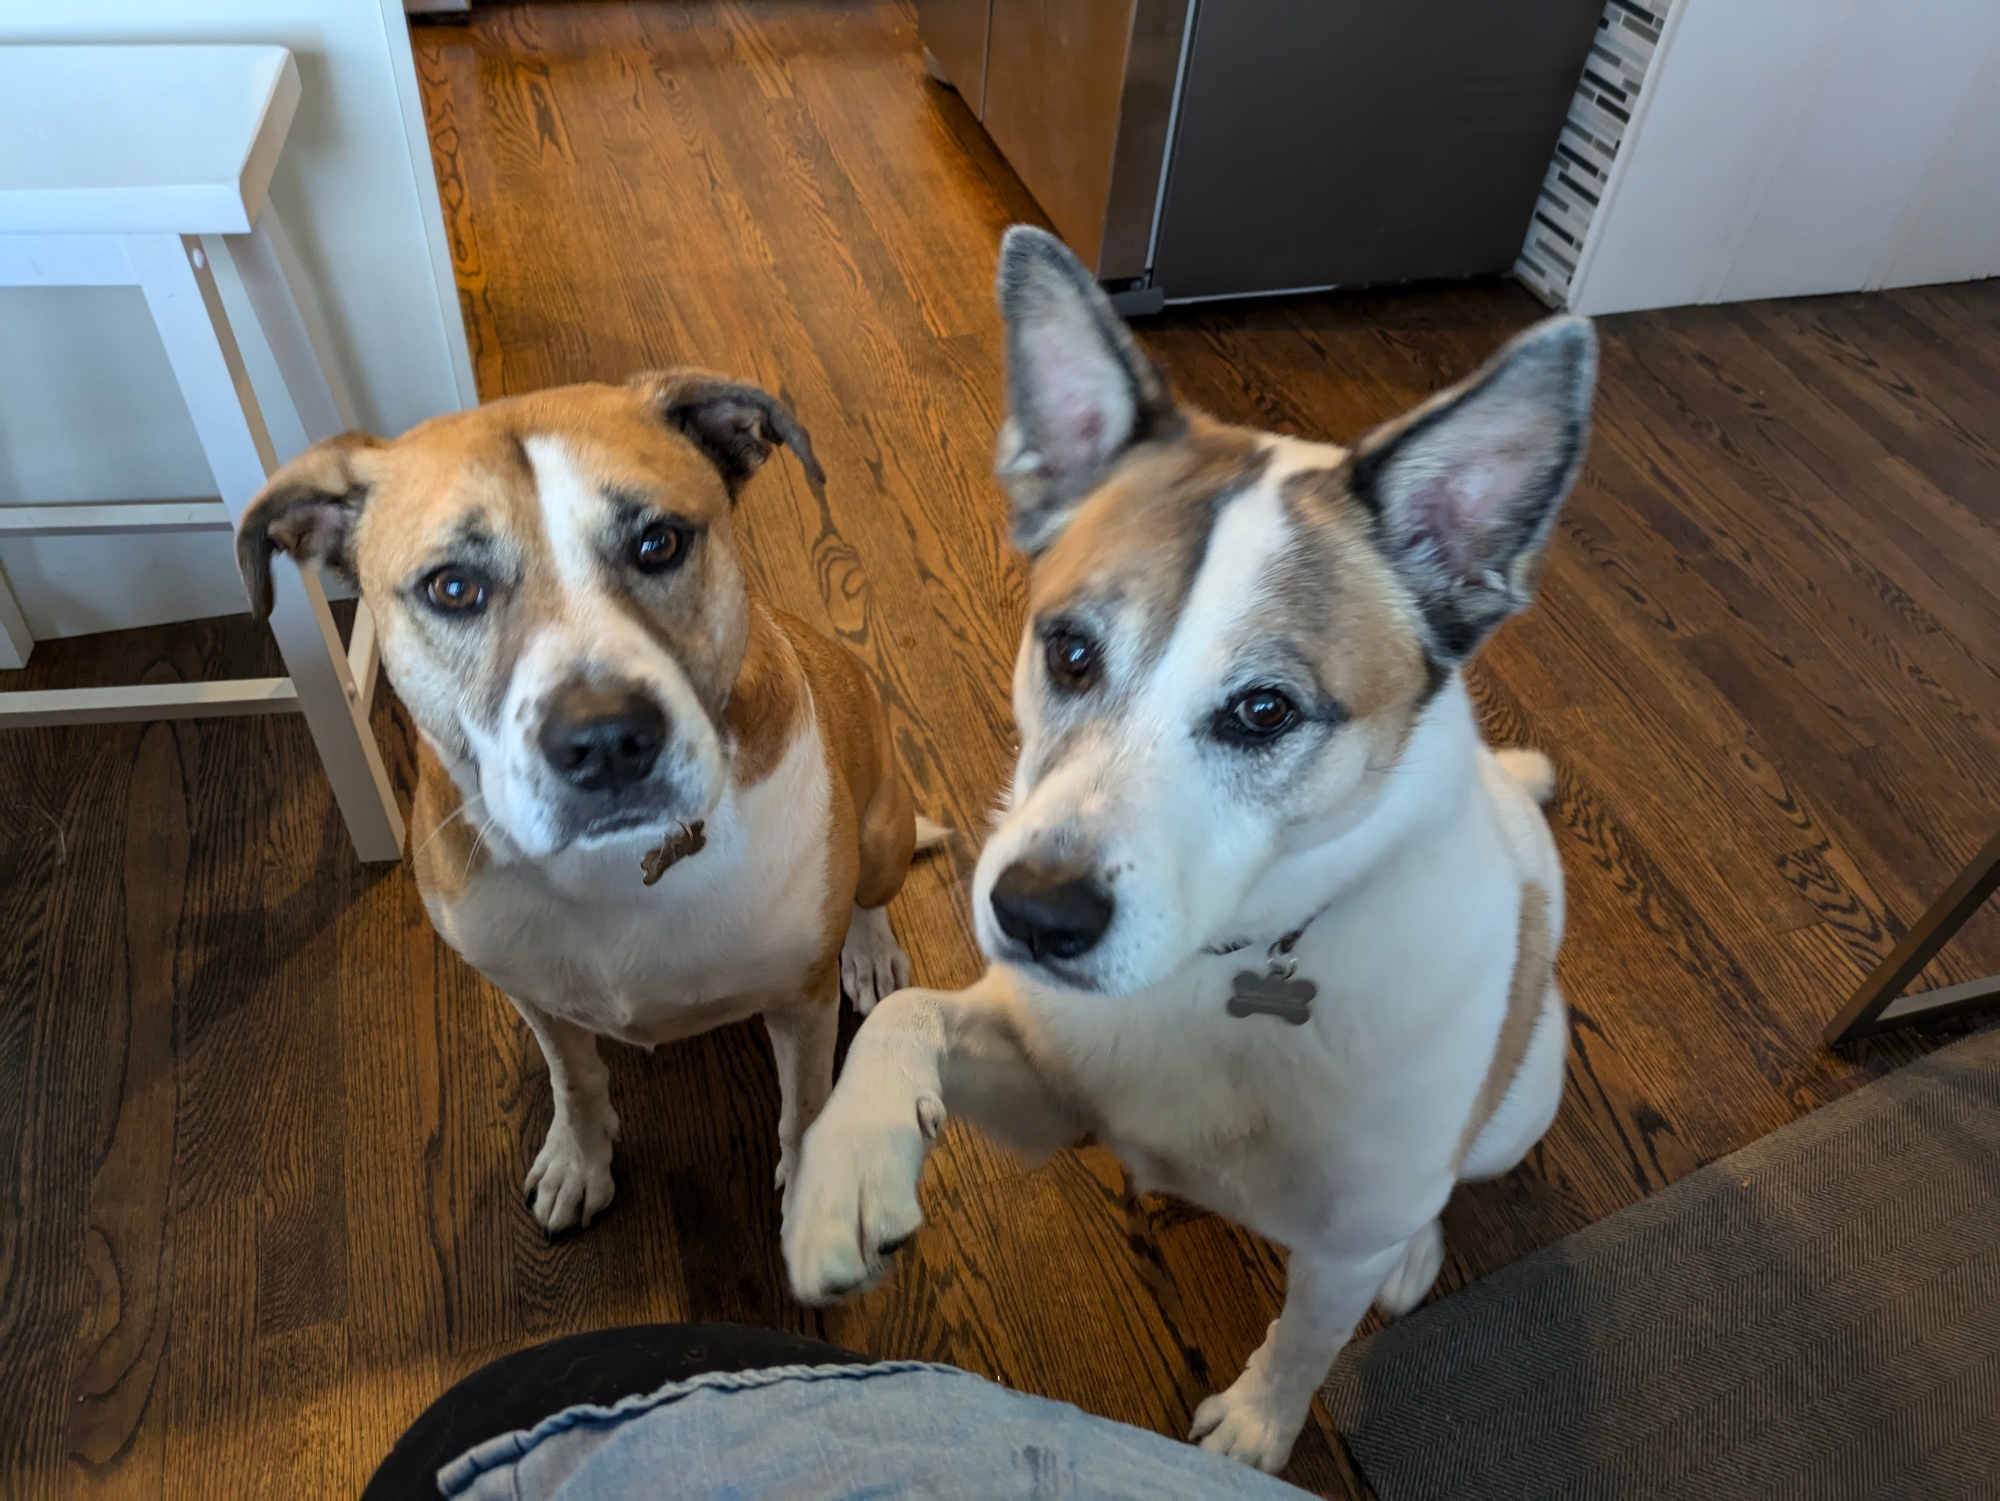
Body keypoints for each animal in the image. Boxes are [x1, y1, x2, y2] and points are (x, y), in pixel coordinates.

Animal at [238, 373, 940, 1234]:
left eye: (659, 543)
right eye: (452, 587)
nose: (606, 740)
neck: (614, 866)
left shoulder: (802, 1003)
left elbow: (804, 1108)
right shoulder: (537, 997)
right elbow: (574, 1079)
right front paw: (581, 1159)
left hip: (880, 830)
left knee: (872, 893)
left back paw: (869, 950)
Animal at [782, 227, 1593, 1473]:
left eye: (1263, 711)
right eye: (1068, 650)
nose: (1033, 915)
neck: (1218, 972)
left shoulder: (1338, 1243)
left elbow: (1305, 1340)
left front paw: (1256, 1425)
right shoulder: (1041, 1092)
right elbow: (911, 1011)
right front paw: (844, 1163)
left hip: (1521, 1099)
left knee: (1450, 1178)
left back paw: (1417, 1247)